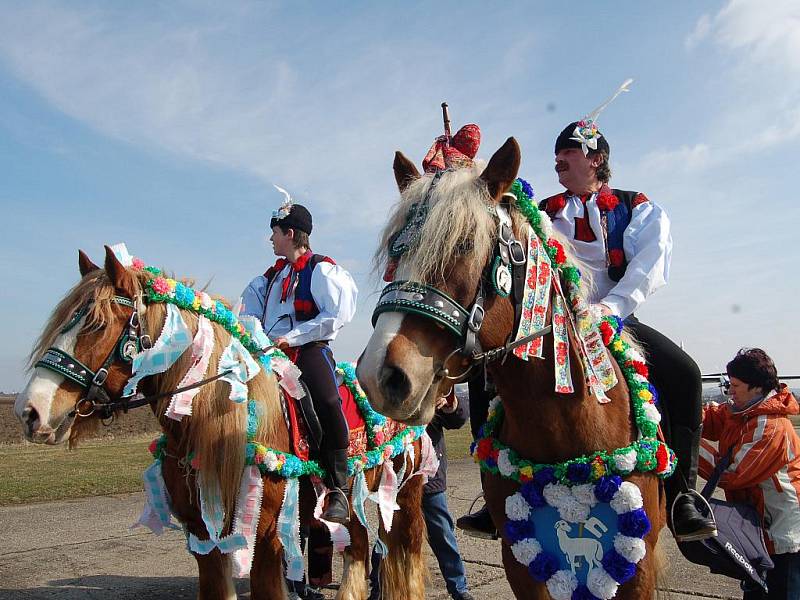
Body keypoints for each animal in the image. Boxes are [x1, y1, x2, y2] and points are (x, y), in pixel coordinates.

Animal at [17, 244, 432, 600]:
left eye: (97, 325)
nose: (29, 410)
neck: (217, 424)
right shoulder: (203, 536)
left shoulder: (265, 537)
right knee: (358, 549)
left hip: (405, 489)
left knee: (404, 548)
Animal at [360, 138, 664, 596]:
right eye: (396, 248)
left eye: (465, 243)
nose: (381, 376)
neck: (567, 430)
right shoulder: (521, 565)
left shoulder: (638, 567)